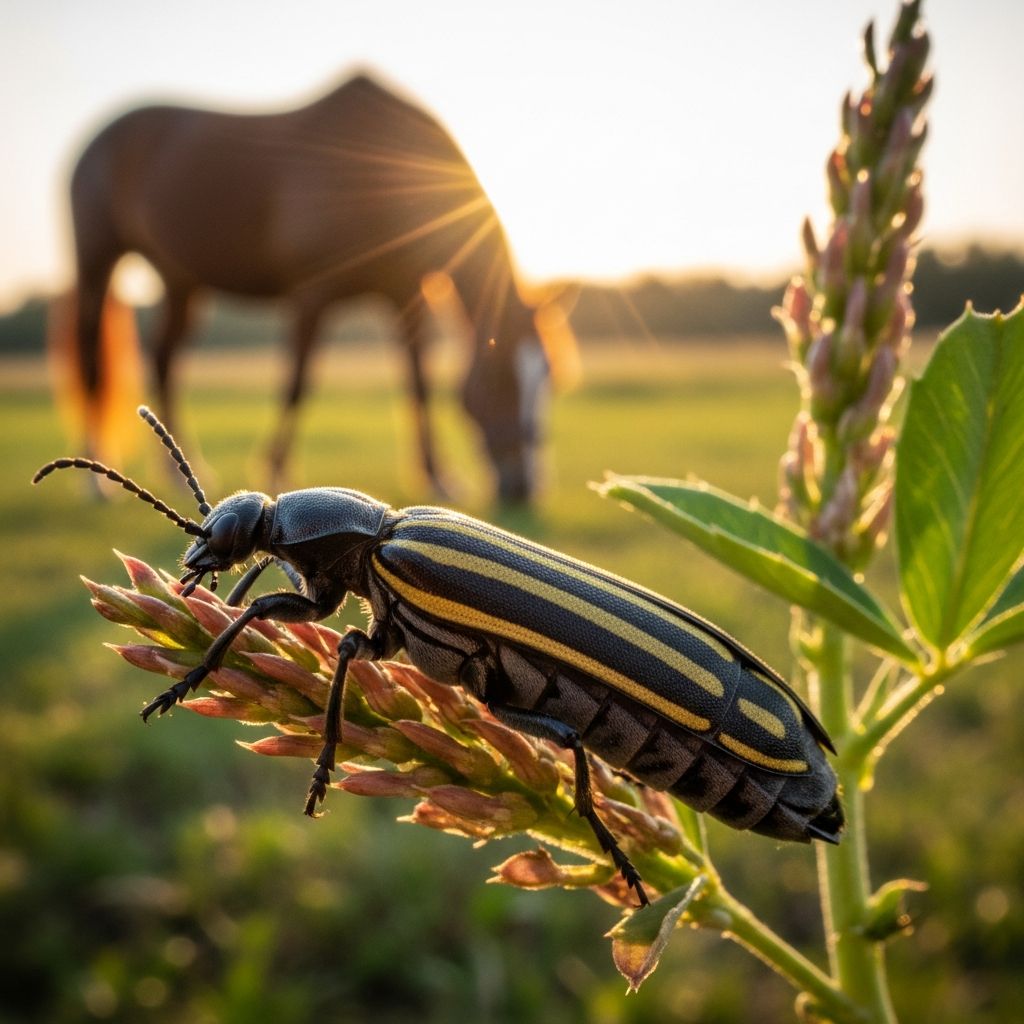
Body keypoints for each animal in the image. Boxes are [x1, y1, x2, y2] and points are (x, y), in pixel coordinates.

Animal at [60, 73, 574, 502]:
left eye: (547, 376)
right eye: (498, 378)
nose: (525, 487)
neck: (385, 168)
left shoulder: (404, 297)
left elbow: (418, 385)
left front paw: (438, 477)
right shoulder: (313, 295)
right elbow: (297, 383)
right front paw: (275, 469)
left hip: (181, 283)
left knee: (165, 361)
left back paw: (182, 470)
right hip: (97, 264)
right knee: (91, 364)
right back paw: (95, 481)